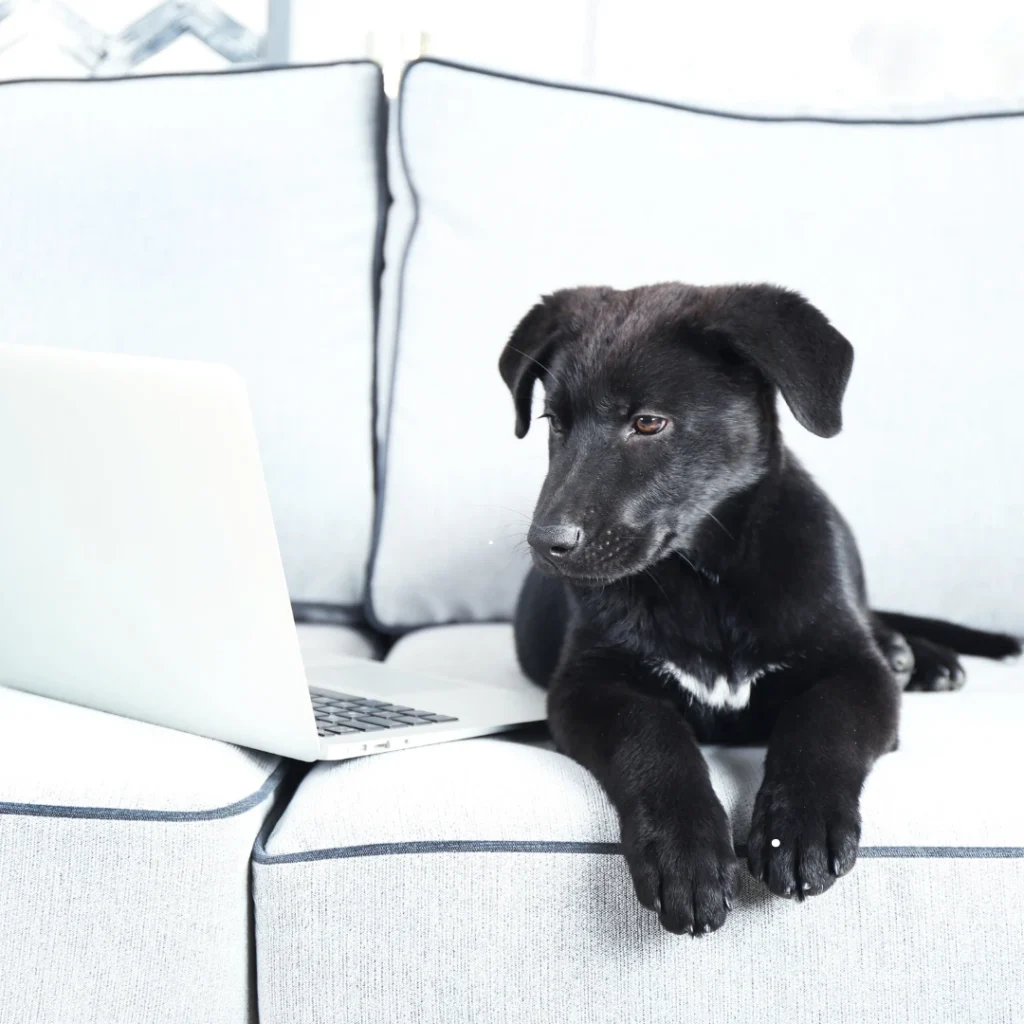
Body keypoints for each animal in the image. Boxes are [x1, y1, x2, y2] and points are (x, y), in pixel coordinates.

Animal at [499, 282, 1019, 937]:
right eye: (554, 423)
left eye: (648, 422)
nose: (547, 543)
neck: (705, 581)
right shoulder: (587, 686)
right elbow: (650, 736)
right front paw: (686, 853)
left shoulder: (851, 668)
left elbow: (822, 722)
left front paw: (798, 829)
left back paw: (916, 655)